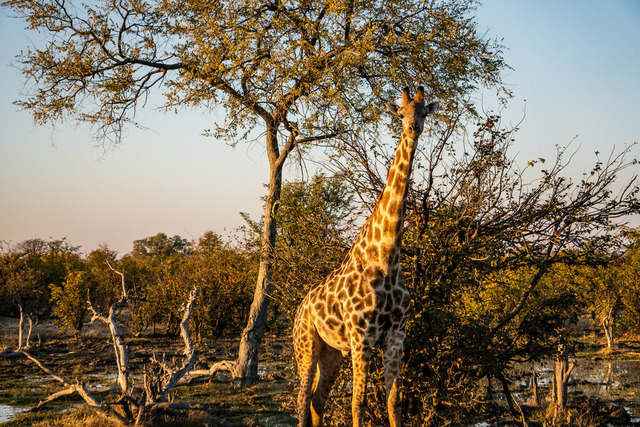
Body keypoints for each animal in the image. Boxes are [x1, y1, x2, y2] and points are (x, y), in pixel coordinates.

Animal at [293, 86, 438, 427]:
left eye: (424, 111)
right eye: (401, 113)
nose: (413, 128)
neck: (386, 258)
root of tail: (299, 309)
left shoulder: (396, 335)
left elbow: (394, 401)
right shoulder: (362, 336)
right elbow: (358, 403)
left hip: (332, 352)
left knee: (317, 400)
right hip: (306, 345)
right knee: (302, 399)